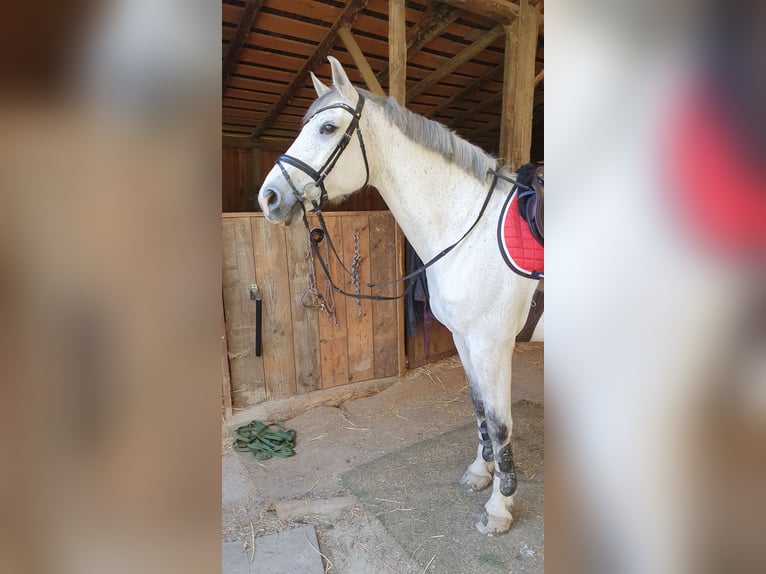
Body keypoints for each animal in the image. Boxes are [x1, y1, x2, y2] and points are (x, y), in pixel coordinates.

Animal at [257, 56, 543, 536]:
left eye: (328, 128)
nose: (269, 198)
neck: (469, 227)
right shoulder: (466, 341)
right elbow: (479, 409)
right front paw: (480, 474)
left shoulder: (492, 344)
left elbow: (500, 423)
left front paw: (499, 509)